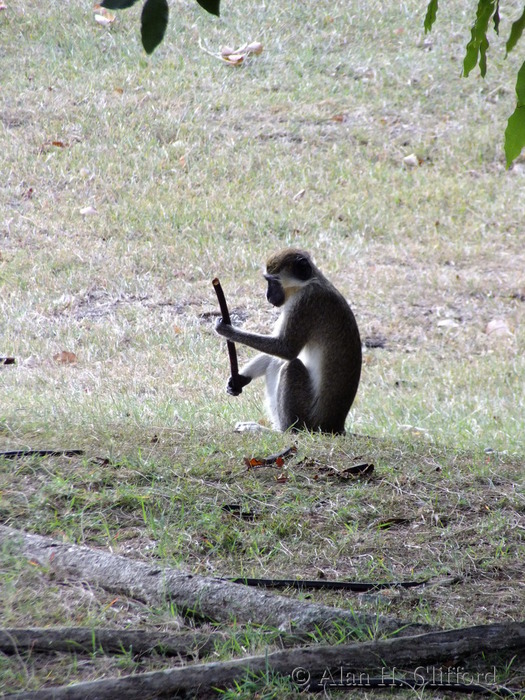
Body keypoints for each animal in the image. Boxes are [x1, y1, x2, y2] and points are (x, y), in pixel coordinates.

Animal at [215, 248, 361, 434]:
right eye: (267, 281)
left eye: (273, 282)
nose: (268, 295)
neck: (307, 283)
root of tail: (334, 426)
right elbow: (278, 350)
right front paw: (240, 378)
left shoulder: (305, 304)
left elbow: (286, 349)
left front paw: (227, 330)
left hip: (309, 421)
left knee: (291, 365)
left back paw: (281, 431)